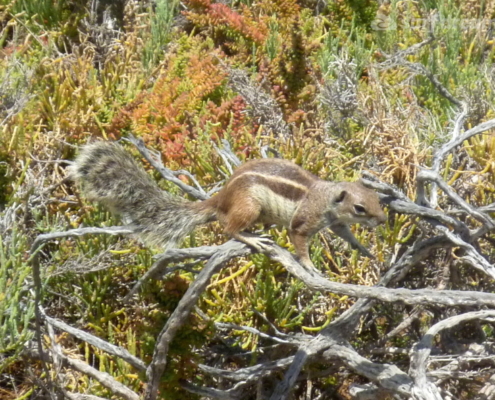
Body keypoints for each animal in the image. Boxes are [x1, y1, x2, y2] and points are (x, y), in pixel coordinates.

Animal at [70, 142, 388, 268]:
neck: (326, 197)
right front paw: (310, 266)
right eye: (360, 208)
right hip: (249, 206)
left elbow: (347, 236)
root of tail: (221, 198)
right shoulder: (304, 222)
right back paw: (252, 237)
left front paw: (365, 250)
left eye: (376, 200)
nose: (382, 220)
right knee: (228, 228)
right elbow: (299, 241)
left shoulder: (336, 223)